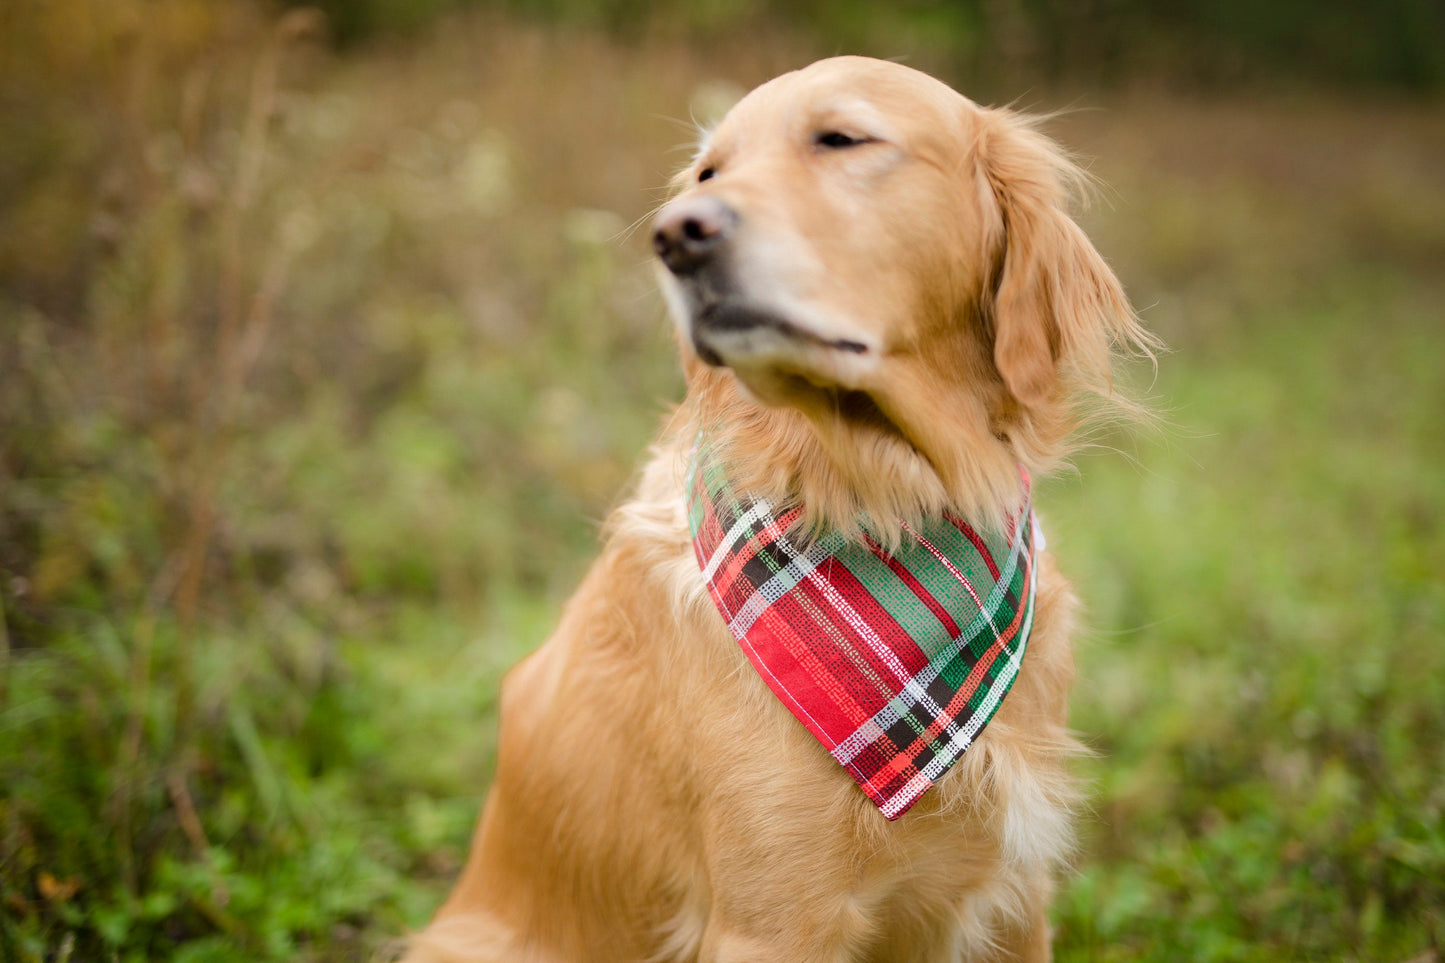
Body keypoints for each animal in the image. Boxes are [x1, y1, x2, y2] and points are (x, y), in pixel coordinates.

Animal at [407, 54, 1150, 960]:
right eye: (706, 172)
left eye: (842, 138)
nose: (674, 235)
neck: (882, 500)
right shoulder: (773, 918)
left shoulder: (1016, 898)